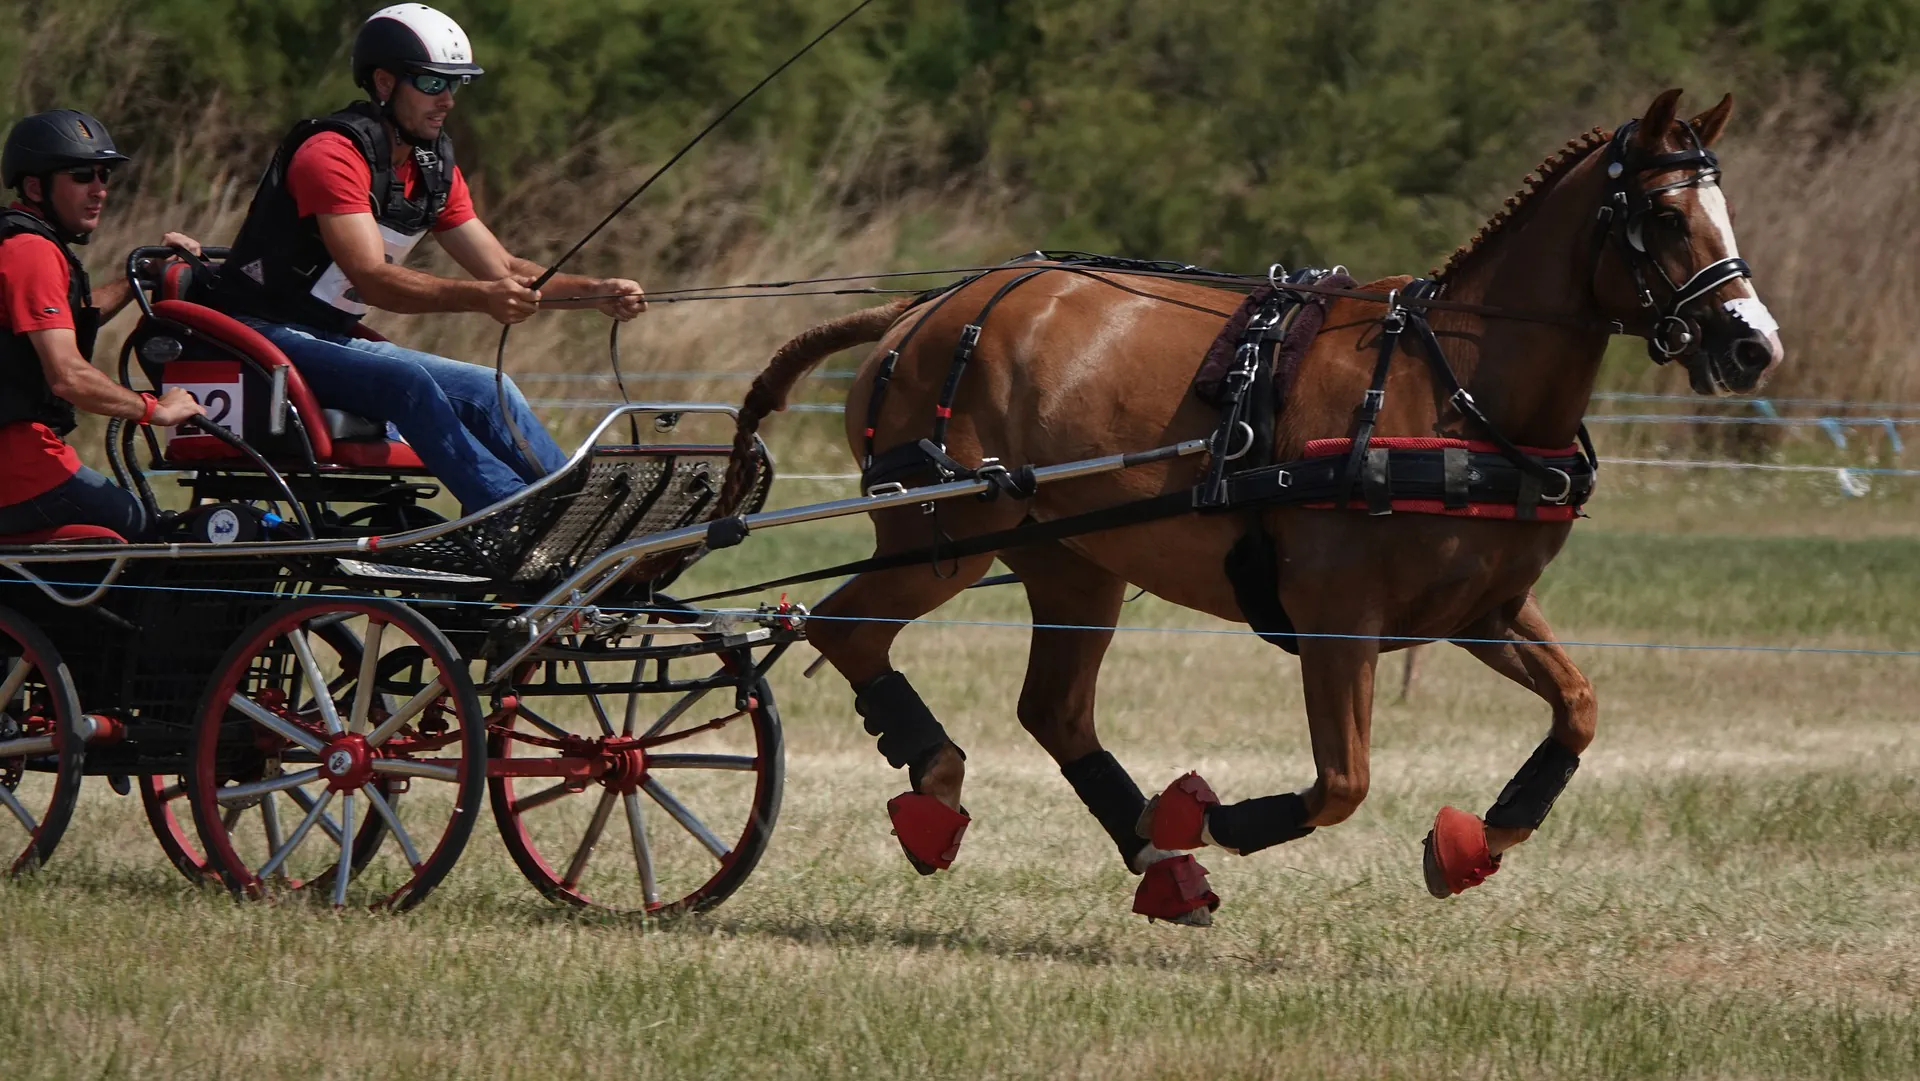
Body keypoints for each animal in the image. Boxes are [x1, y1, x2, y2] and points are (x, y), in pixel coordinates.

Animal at [718, 88, 1781, 925]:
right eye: (1663, 214)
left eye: (1726, 210)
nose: (1752, 346)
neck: (1449, 386)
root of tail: (921, 309)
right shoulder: (1338, 622)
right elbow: (1344, 781)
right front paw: (1209, 814)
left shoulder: (1483, 610)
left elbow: (1580, 707)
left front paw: (1481, 838)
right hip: (946, 534)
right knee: (850, 630)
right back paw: (942, 788)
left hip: (1072, 562)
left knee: (1051, 708)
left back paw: (1155, 860)